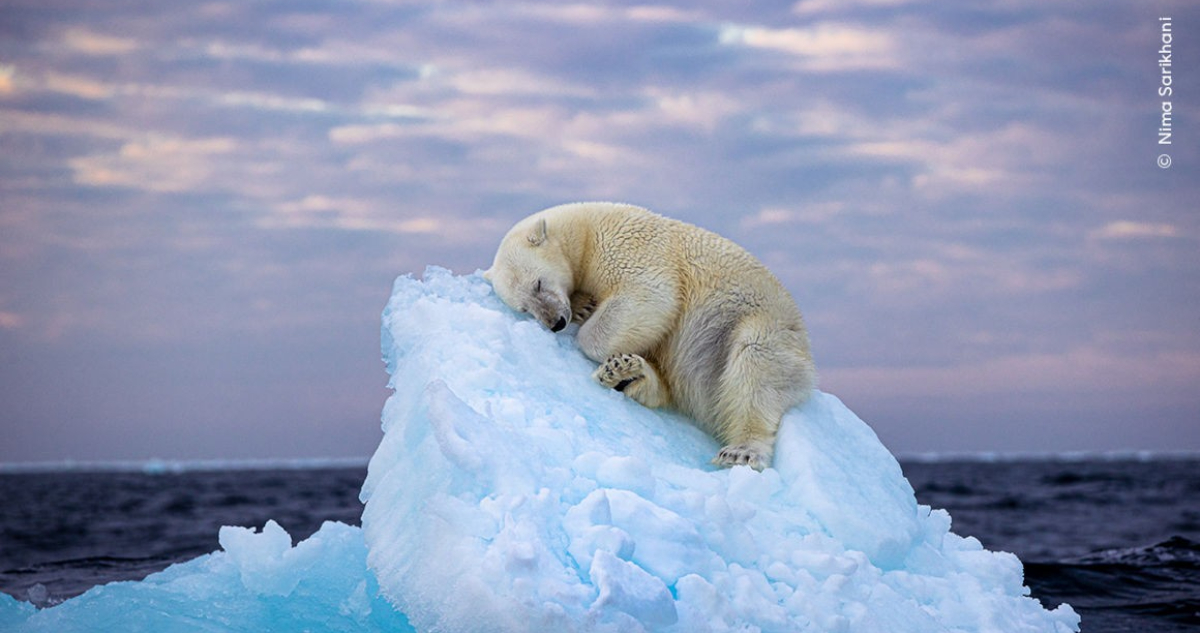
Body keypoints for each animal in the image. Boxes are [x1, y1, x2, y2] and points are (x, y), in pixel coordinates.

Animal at [484, 202, 816, 470]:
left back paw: (741, 451)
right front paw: (583, 306)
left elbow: (651, 295)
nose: (555, 322)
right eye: (524, 308)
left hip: (758, 325)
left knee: (755, 368)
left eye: (538, 284)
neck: (586, 230)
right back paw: (628, 374)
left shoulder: (628, 246)